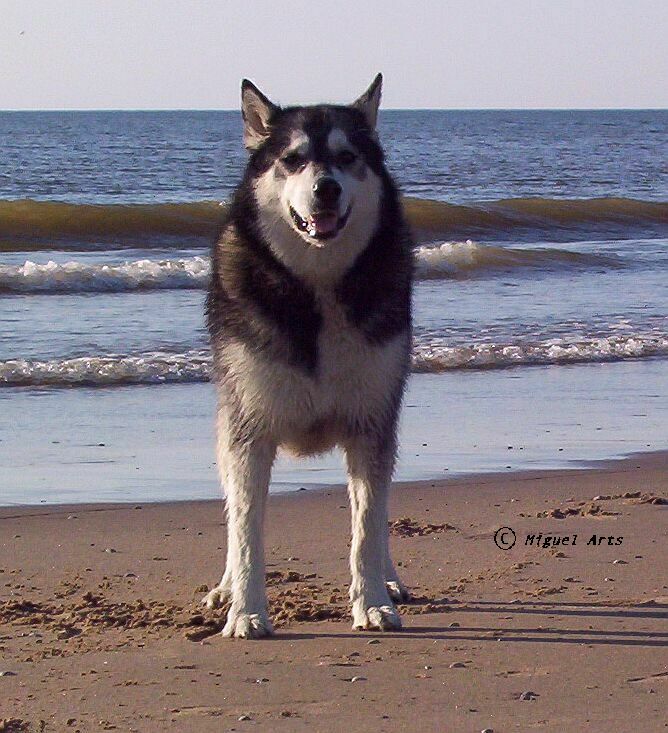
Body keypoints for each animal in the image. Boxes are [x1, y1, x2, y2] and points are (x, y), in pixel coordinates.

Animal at [204, 73, 412, 636]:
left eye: (346, 158)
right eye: (294, 160)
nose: (327, 188)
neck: (317, 287)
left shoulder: (370, 423)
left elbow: (366, 528)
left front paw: (372, 602)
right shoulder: (249, 433)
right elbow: (246, 533)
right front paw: (247, 611)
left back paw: (390, 580)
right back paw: (225, 589)